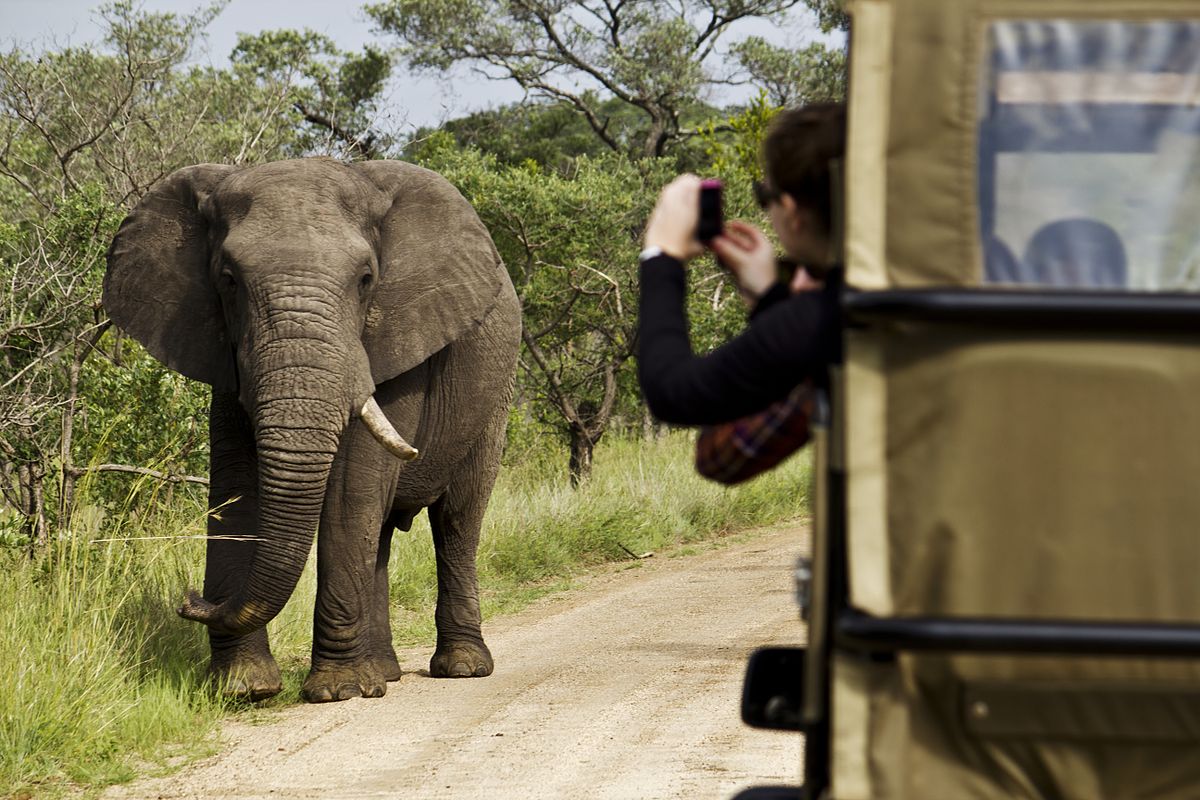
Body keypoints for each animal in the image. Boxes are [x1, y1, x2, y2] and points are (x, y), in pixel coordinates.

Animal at [106, 159, 525, 705]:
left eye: (367, 279)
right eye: (228, 280)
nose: (191, 600)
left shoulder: (396, 342)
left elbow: (350, 490)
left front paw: (335, 691)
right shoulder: (224, 351)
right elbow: (236, 485)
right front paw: (243, 689)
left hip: (496, 391)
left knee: (457, 518)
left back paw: (461, 668)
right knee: (382, 531)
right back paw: (383, 673)